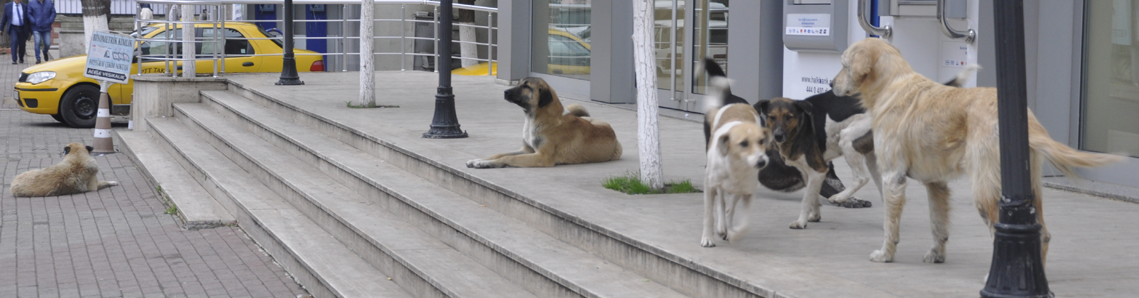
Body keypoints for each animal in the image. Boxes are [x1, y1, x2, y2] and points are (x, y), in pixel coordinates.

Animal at [464, 77, 624, 168]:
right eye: (519, 83)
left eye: (526, 86)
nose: (505, 92)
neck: (532, 119)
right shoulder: (527, 150)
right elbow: (498, 153)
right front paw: (480, 160)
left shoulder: (541, 157)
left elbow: (508, 157)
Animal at [833, 37, 1125, 262]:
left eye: (844, 64)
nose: (830, 84)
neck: (892, 85)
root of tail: (1028, 122)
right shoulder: (936, 183)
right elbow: (937, 224)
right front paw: (937, 254)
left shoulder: (892, 177)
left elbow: (889, 225)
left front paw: (885, 254)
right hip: (1032, 190)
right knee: (1043, 235)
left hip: (986, 191)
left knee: (1001, 233)